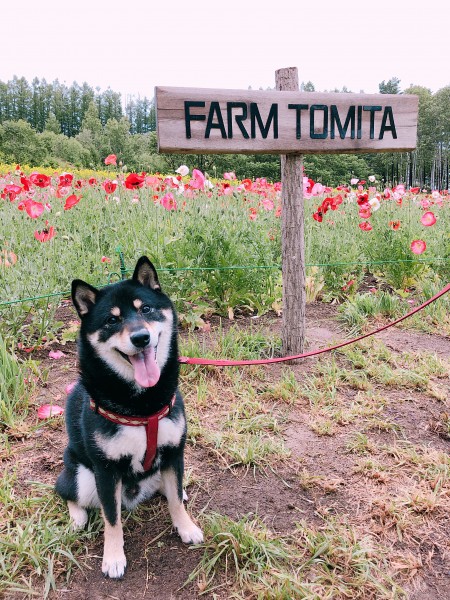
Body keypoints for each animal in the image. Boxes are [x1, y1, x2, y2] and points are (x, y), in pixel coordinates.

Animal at [55, 255, 203, 580]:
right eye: (112, 321)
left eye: (145, 309)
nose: (141, 337)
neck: (141, 406)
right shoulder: (106, 471)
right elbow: (112, 519)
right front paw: (113, 558)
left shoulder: (174, 452)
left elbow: (175, 499)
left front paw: (186, 527)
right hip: (83, 477)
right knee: (65, 491)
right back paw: (77, 518)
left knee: (171, 488)